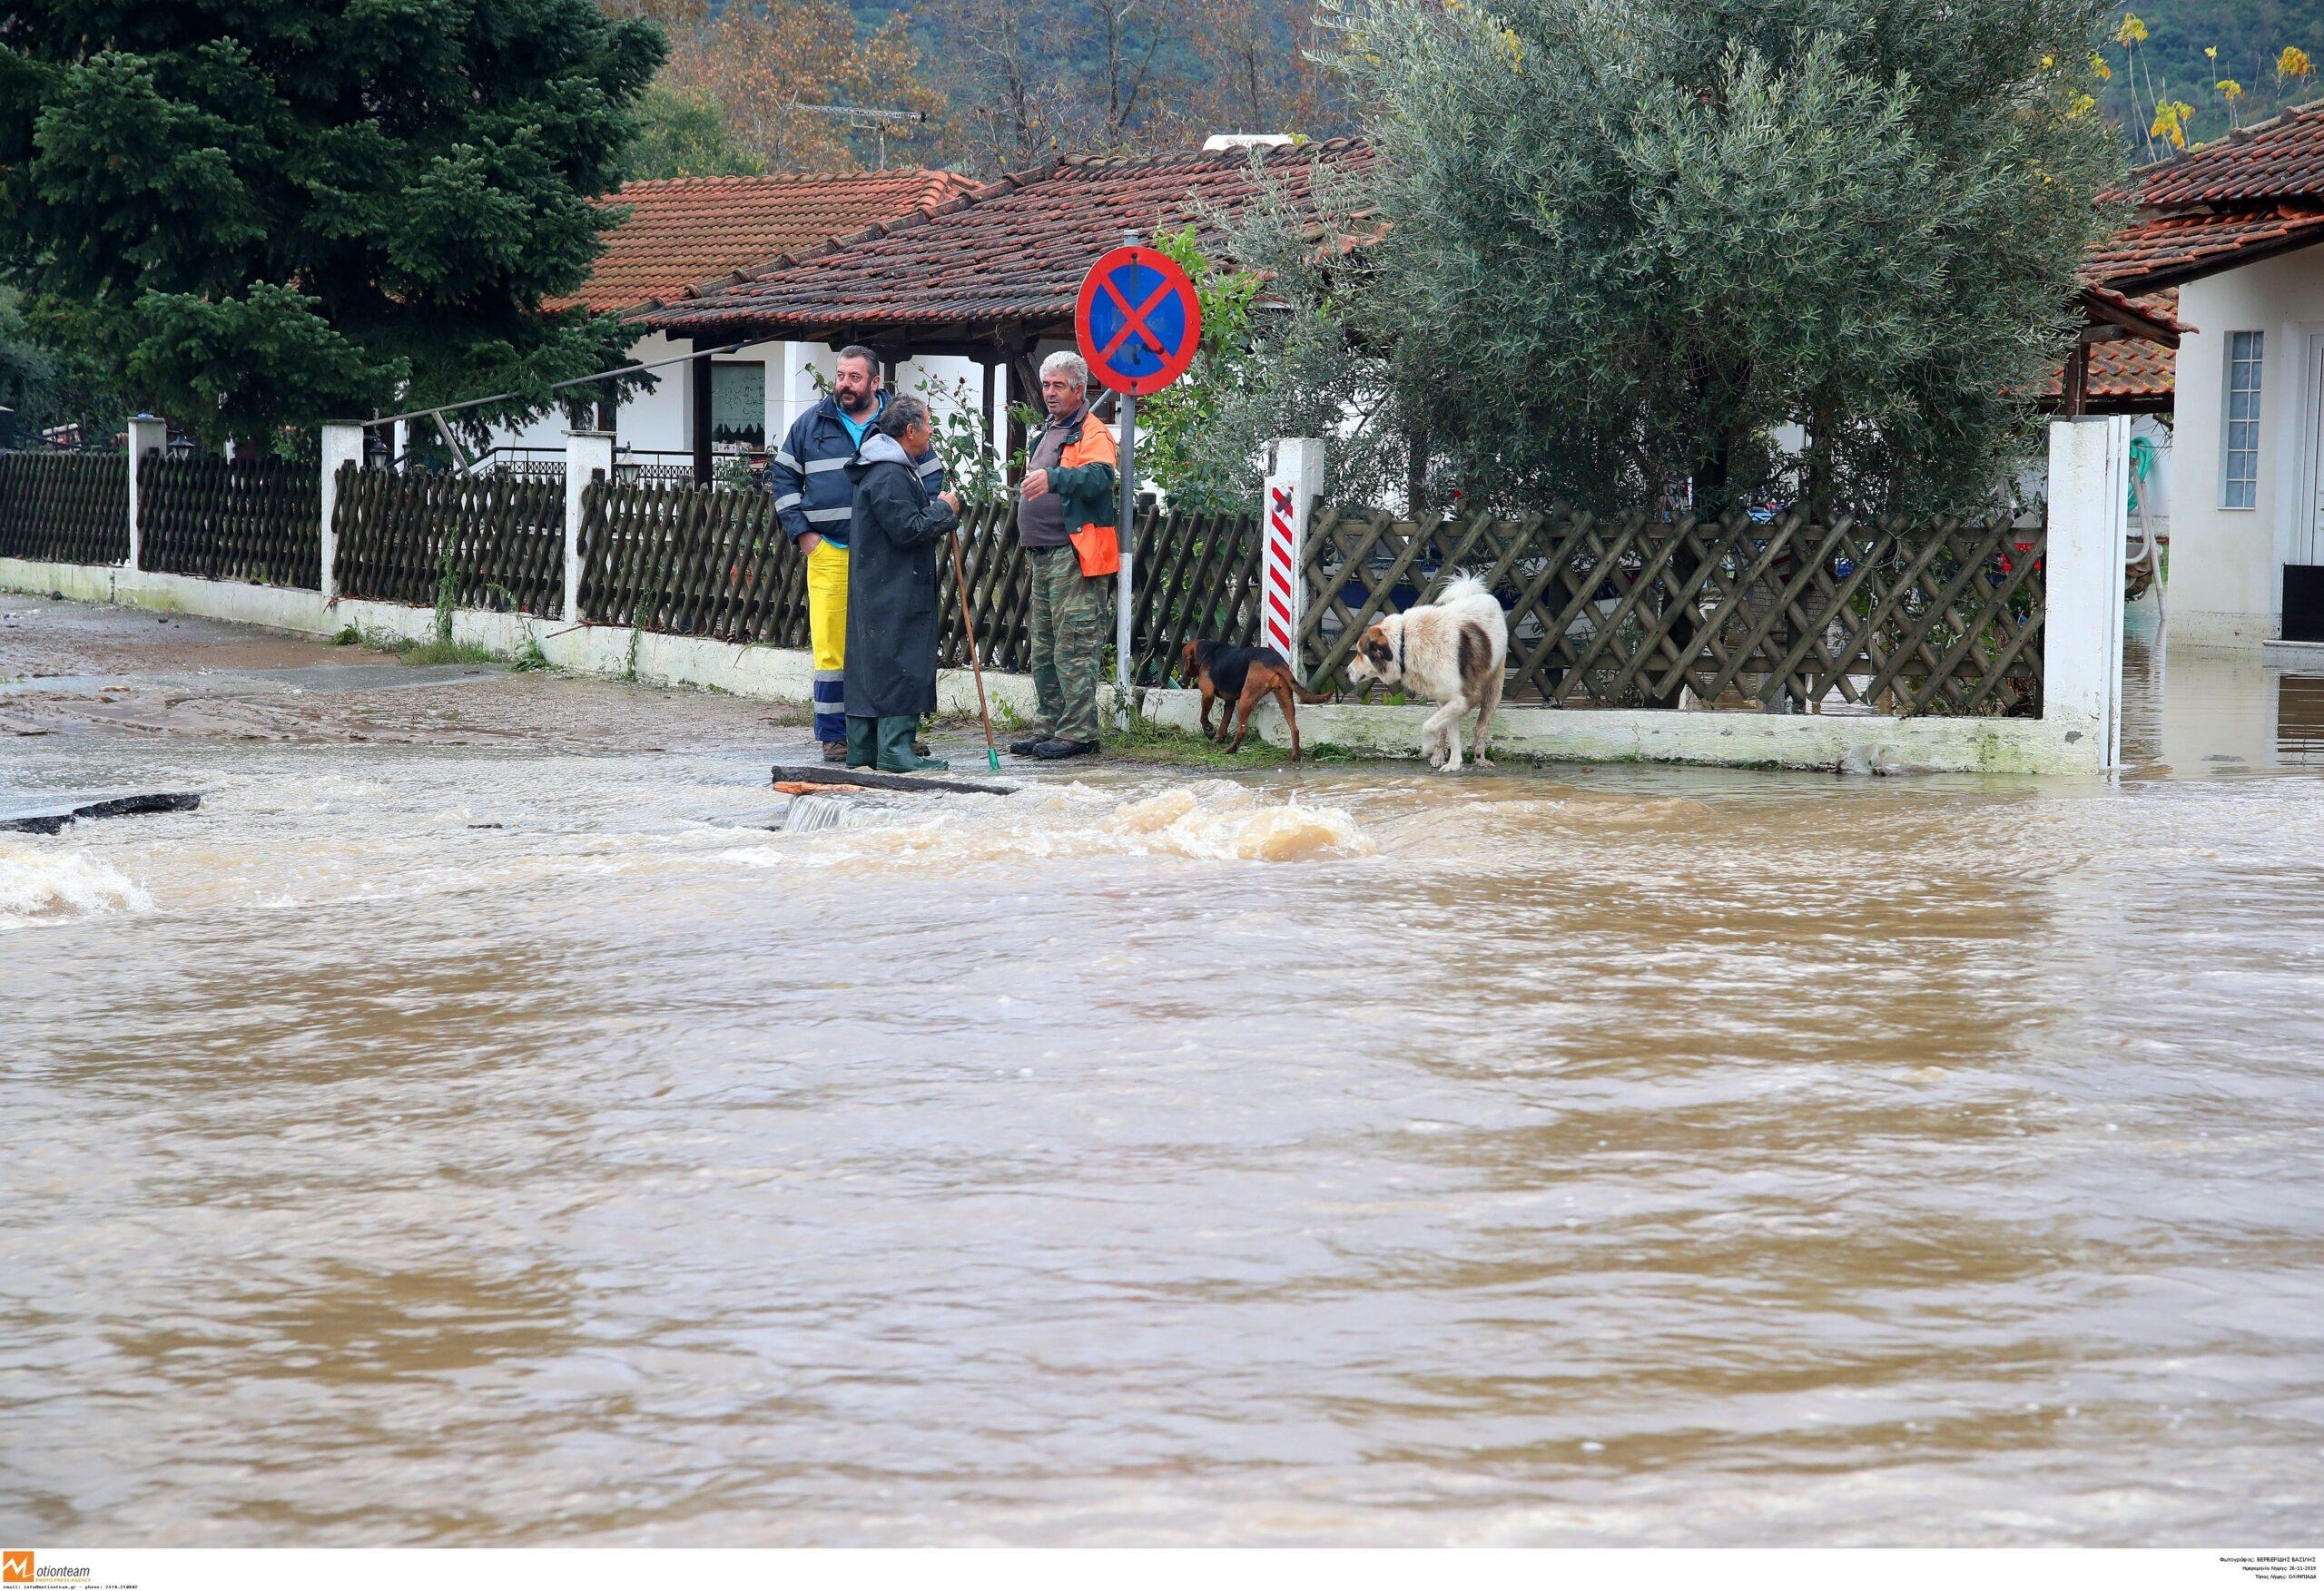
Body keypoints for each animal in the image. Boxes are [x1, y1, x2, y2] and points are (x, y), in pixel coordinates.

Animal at [1189, 636, 1338, 761]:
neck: (1209, 649)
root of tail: (1275, 661)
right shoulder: (1230, 702)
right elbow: (1224, 724)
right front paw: (1218, 739)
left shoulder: (1207, 694)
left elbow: (1203, 717)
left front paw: (1209, 730)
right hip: (1285, 700)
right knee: (1295, 730)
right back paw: (1295, 756)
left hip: (1246, 699)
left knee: (1242, 730)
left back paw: (1231, 750)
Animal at [1338, 574, 1515, 771]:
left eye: (1360, 653)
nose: (1345, 674)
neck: (1405, 644)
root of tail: (1479, 594)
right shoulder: (1450, 699)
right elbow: (1449, 733)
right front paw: (1453, 763)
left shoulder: (1465, 698)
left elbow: (1428, 725)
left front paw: (1429, 747)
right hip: (1441, 698)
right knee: (1444, 729)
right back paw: (1439, 756)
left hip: (1494, 688)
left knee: (1480, 727)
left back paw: (1480, 758)